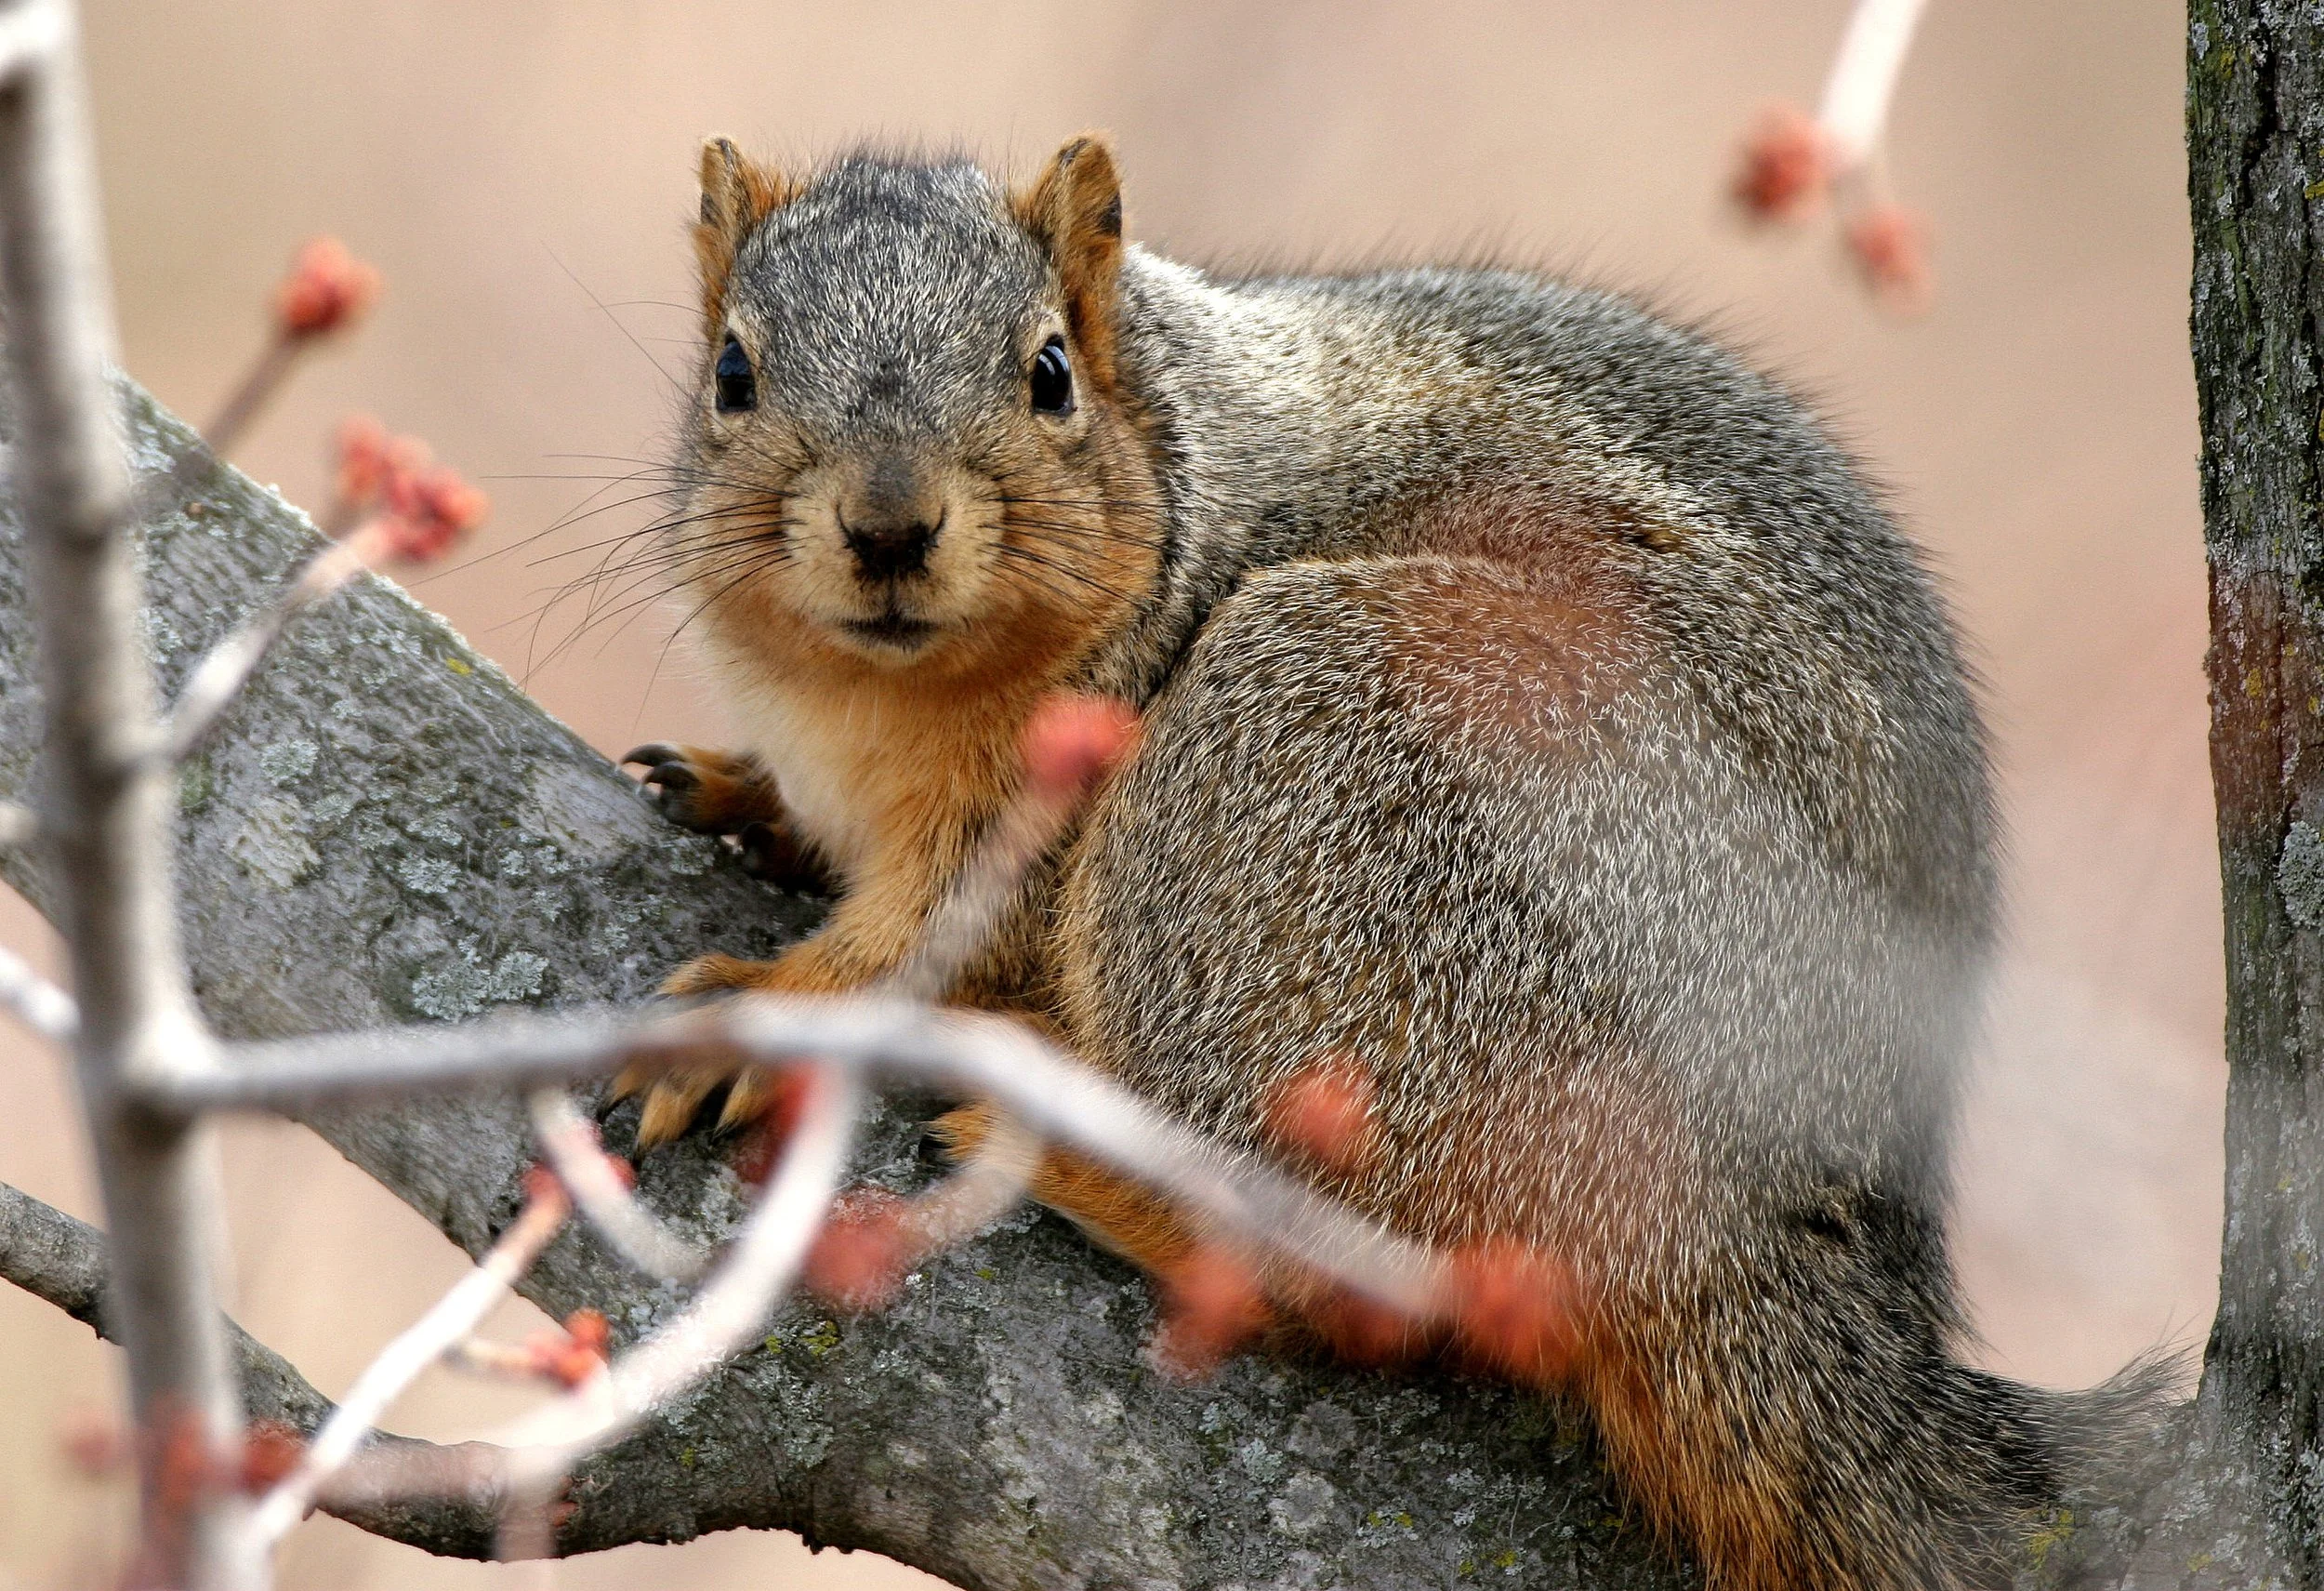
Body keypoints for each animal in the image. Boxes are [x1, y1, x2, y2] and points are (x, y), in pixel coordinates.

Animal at [613, 134, 2166, 1591]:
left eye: (1049, 371)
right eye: (732, 372)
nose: (888, 526)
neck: (875, 708)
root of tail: (1745, 1218)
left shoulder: (1040, 817)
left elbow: (923, 941)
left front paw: (758, 1008)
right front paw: (740, 790)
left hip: (1347, 783)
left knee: (1322, 1267)